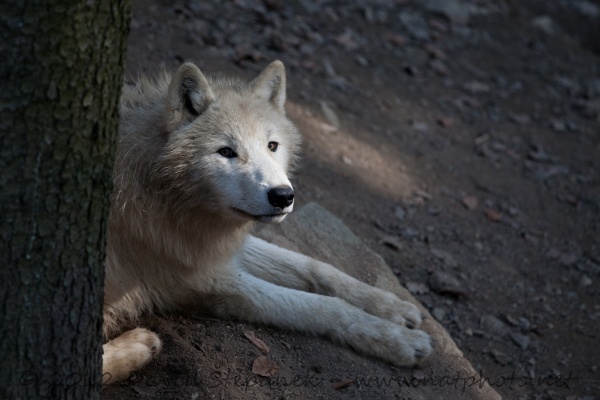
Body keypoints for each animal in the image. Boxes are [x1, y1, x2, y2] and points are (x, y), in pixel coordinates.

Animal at [102, 60, 432, 384]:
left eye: (272, 146)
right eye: (226, 152)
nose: (283, 196)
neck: (158, 188)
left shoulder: (213, 248)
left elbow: (317, 267)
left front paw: (392, 307)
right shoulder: (205, 278)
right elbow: (323, 306)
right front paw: (400, 340)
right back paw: (139, 346)